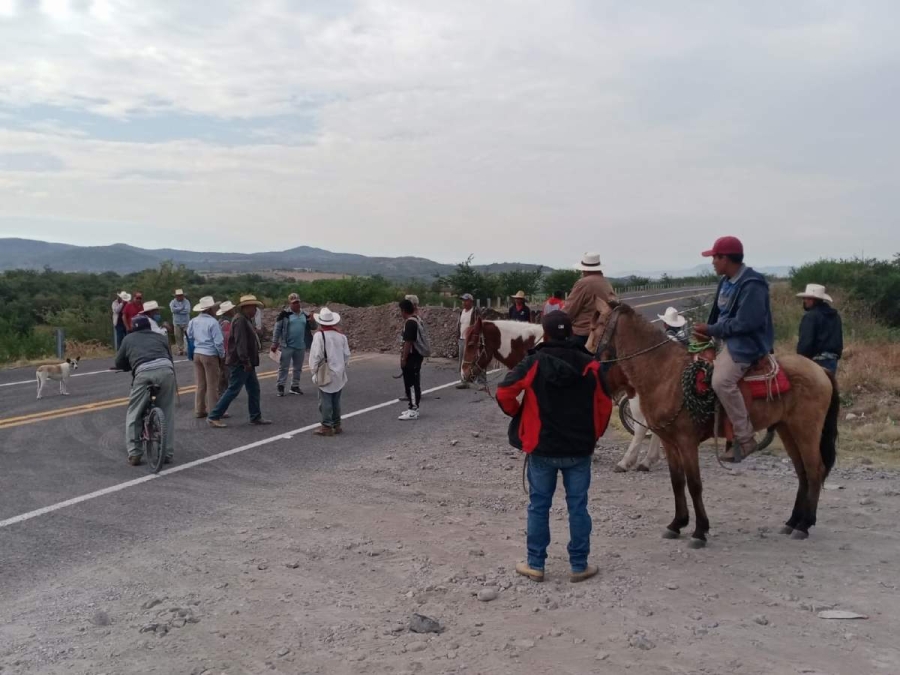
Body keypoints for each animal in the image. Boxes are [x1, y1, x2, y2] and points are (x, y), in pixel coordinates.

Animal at [588, 302, 840, 548]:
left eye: (595, 326)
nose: (589, 353)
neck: (665, 373)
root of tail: (820, 370)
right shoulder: (670, 443)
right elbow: (677, 481)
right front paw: (677, 524)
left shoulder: (687, 442)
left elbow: (694, 484)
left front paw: (700, 531)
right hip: (787, 429)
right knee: (802, 472)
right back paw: (792, 521)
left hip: (806, 430)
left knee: (814, 470)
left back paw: (804, 525)